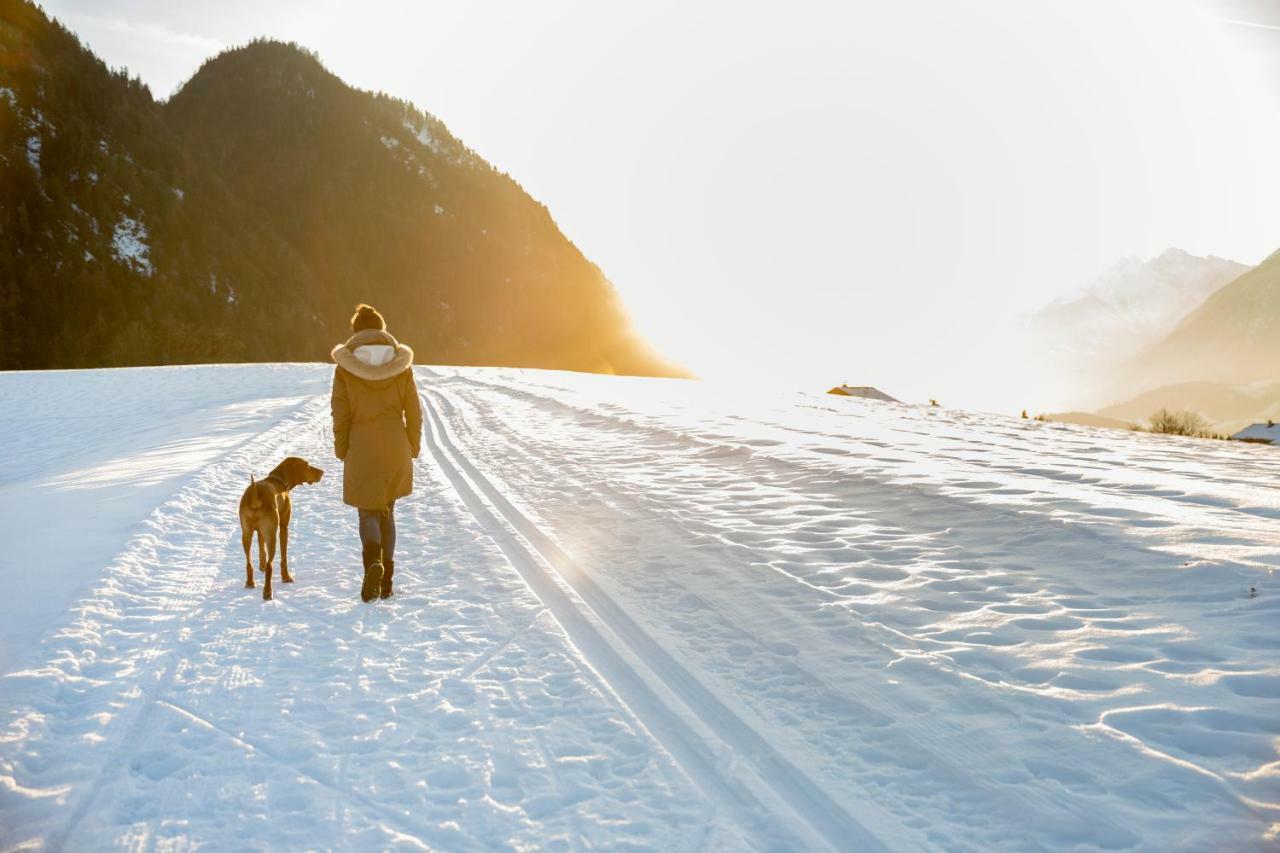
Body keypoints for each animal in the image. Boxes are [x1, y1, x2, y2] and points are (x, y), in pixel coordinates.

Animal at [239, 458, 325, 596]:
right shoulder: (284, 527)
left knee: (249, 563)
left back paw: (250, 583)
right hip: (272, 537)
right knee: (270, 565)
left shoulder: (259, 532)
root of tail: (255, 495)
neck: (278, 480)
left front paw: (261, 566)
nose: (322, 472)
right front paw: (286, 578)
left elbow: (261, 549)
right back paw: (267, 592)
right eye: (307, 465)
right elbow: (284, 557)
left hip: (246, 535)